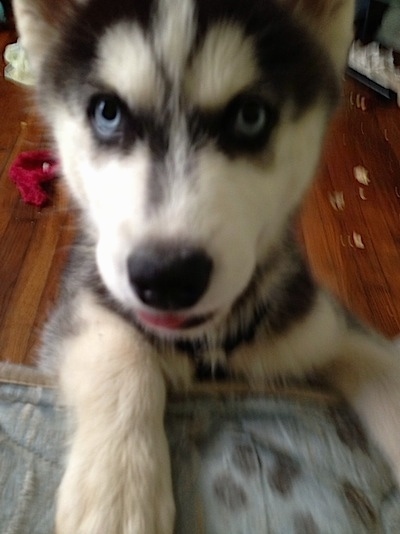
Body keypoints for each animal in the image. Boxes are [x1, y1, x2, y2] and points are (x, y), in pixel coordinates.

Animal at [11, 0, 400, 532]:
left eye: (251, 116)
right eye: (107, 113)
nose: (167, 277)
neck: (208, 346)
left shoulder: (328, 329)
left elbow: (382, 367)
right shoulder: (80, 304)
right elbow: (119, 349)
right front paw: (117, 489)